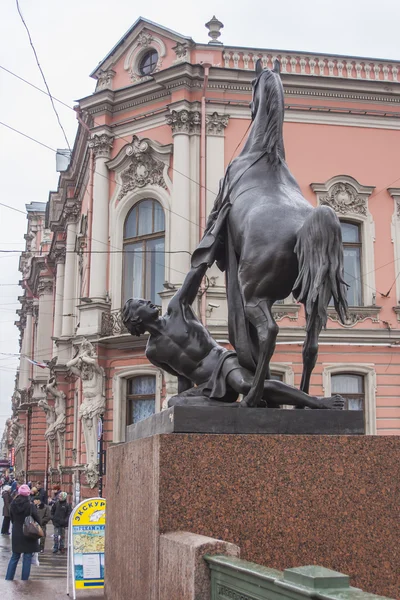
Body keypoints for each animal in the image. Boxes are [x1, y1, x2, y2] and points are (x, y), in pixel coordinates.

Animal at [193, 59, 346, 408]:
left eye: (251, 84)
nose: (250, 108)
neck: (265, 153)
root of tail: (308, 225)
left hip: (253, 295)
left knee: (270, 333)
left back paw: (252, 397)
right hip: (314, 299)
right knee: (310, 345)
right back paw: (305, 401)